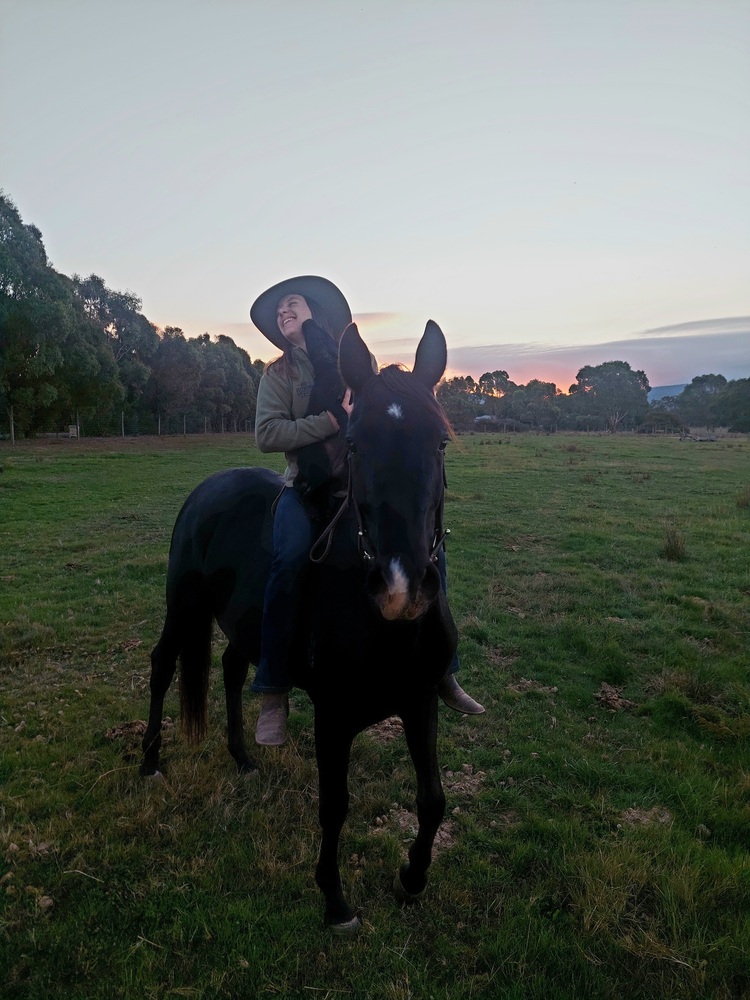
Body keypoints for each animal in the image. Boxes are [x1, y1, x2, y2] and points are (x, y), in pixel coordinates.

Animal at [140, 320, 456, 932]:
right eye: (354, 443)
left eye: (440, 442)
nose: (402, 588)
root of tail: (208, 488)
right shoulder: (334, 718)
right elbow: (334, 806)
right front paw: (334, 900)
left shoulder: (420, 700)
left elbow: (433, 799)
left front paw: (412, 878)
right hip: (183, 605)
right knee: (164, 665)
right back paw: (148, 764)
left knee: (232, 668)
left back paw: (243, 758)